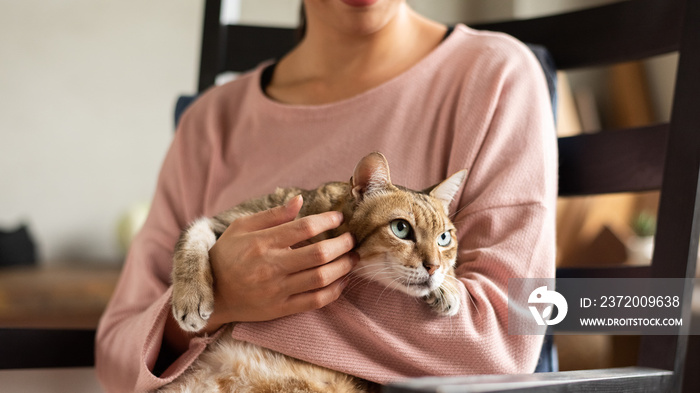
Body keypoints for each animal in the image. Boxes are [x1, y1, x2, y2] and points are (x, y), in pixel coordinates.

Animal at [165, 152, 468, 392]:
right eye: (401, 228)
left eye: (444, 238)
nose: (433, 267)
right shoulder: (226, 220)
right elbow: (191, 238)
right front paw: (191, 297)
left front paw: (448, 286)